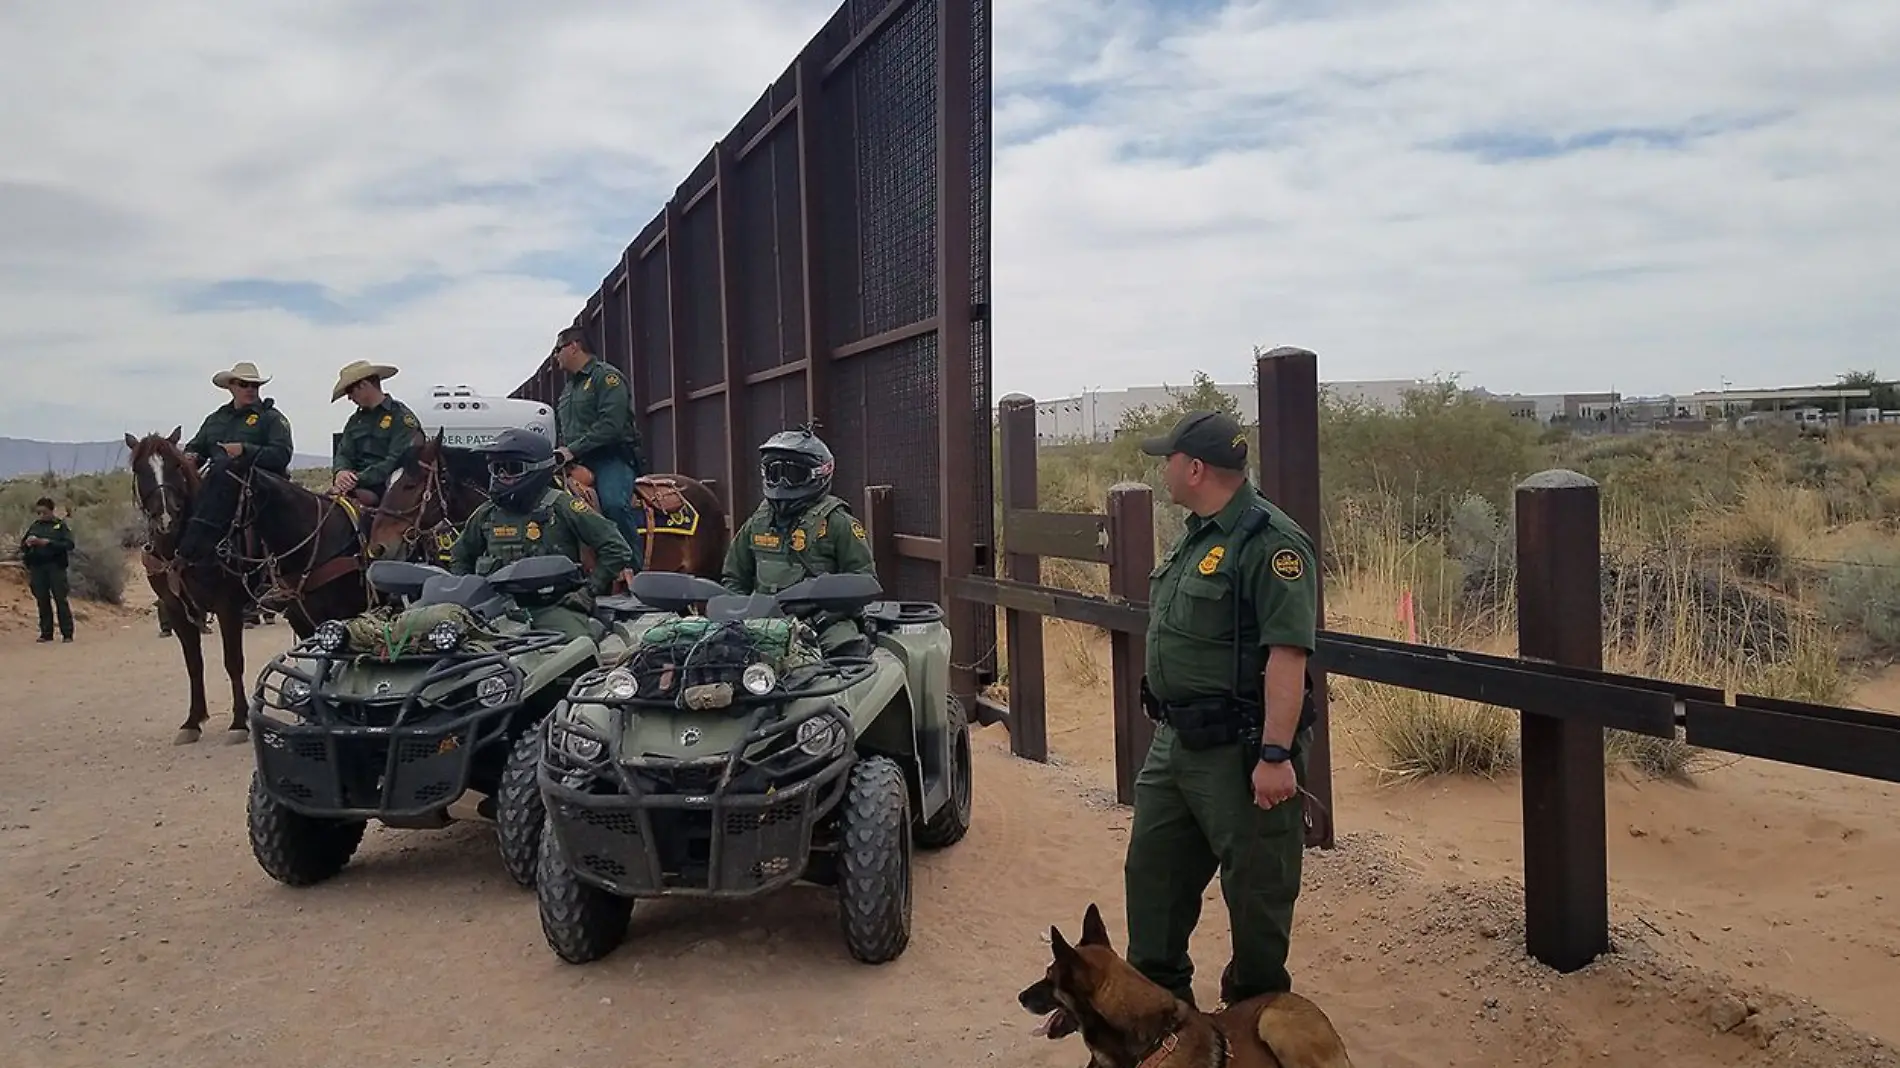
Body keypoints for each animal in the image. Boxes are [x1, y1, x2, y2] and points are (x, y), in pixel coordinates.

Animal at [126, 427, 258, 744]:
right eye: (139, 469)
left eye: (176, 465)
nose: (165, 516)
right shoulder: (176, 610)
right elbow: (193, 664)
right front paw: (192, 721)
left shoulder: (228, 607)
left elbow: (233, 661)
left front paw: (239, 722)